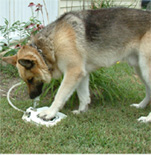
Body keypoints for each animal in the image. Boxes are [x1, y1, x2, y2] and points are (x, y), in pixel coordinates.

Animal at [2, 7, 151, 122]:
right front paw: (81, 112)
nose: (32, 98)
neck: (48, 47)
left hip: (146, 69)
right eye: (26, 81)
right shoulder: (82, 75)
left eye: (30, 79)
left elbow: (60, 95)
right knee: (149, 91)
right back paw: (141, 106)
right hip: (140, 69)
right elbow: (84, 96)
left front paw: (50, 113)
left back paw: (147, 119)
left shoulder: (73, 72)